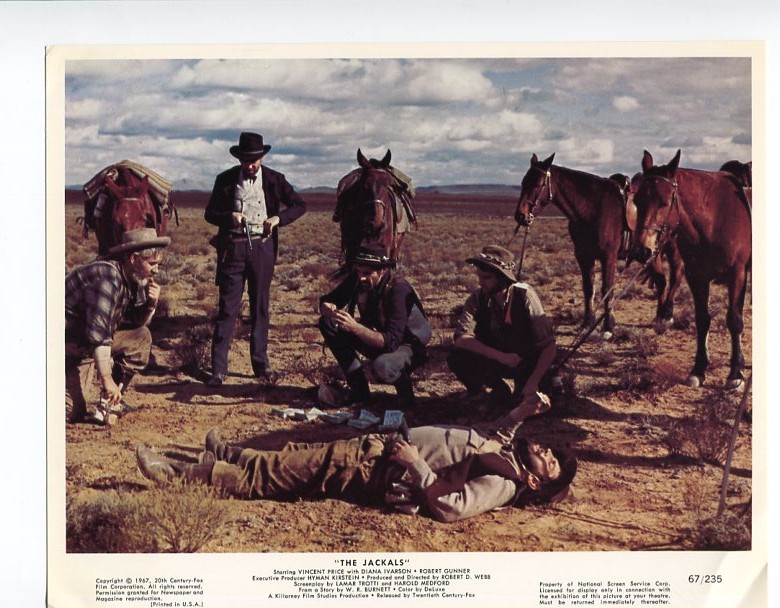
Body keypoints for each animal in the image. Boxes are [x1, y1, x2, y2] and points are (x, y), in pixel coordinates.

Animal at [515, 153, 632, 339]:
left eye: (538, 184)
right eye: (523, 182)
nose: (520, 215)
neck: (593, 209)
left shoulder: (609, 257)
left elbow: (607, 289)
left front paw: (608, 328)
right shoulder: (584, 256)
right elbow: (588, 288)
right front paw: (586, 324)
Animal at [631, 150, 752, 389]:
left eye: (664, 201)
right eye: (637, 200)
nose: (641, 250)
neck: (716, 218)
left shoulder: (737, 275)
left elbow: (734, 321)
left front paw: (735, 374)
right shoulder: (697, 277)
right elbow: (702, 320)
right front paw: (699, 369)